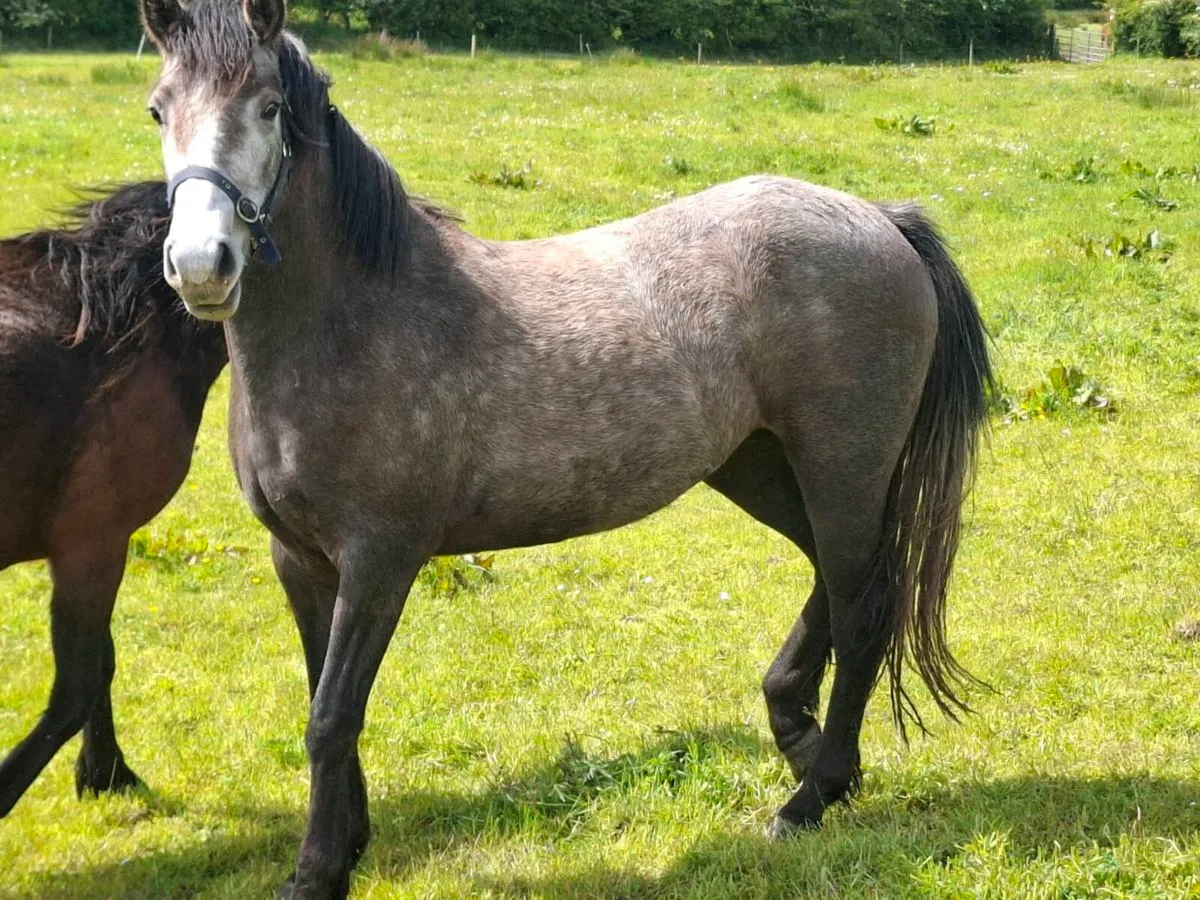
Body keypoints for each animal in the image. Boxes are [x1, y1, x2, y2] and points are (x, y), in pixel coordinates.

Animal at [139, 1, 992, 895]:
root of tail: (881, 220)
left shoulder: (381, 560)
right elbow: (321, 700)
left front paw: (316, 872)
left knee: (864, 609)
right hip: (761, 466)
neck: (357, 318)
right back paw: (802, 735)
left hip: (842, 468)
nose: (200, 265)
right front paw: (347, 840)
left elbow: (333, 715)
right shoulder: (299, 558)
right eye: (159, 110)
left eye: (270, 107)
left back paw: (811, 797)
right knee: (840, 576)